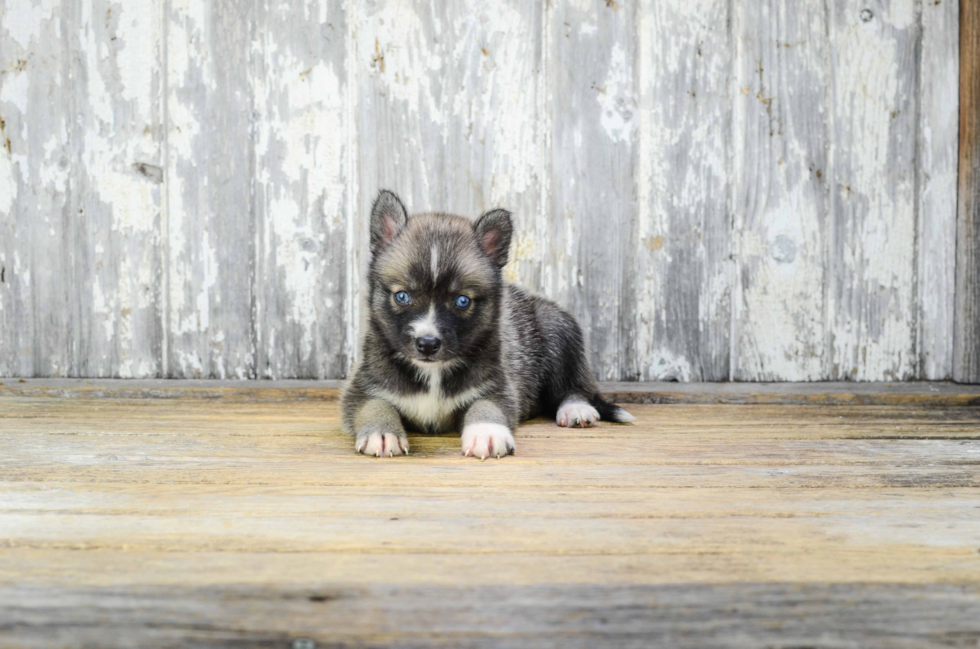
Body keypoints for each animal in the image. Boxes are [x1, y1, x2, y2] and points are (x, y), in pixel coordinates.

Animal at [342, 190, 636, 458]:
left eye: (462, 300)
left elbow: (486, 407)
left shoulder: (497, 387)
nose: (427, 344)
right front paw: (382, 433)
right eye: (402, 296)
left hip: (558, 330)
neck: (433, 373)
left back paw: (576, 407)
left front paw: (487, 432)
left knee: (575, 386)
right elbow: (375, 405)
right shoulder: (362, 388)